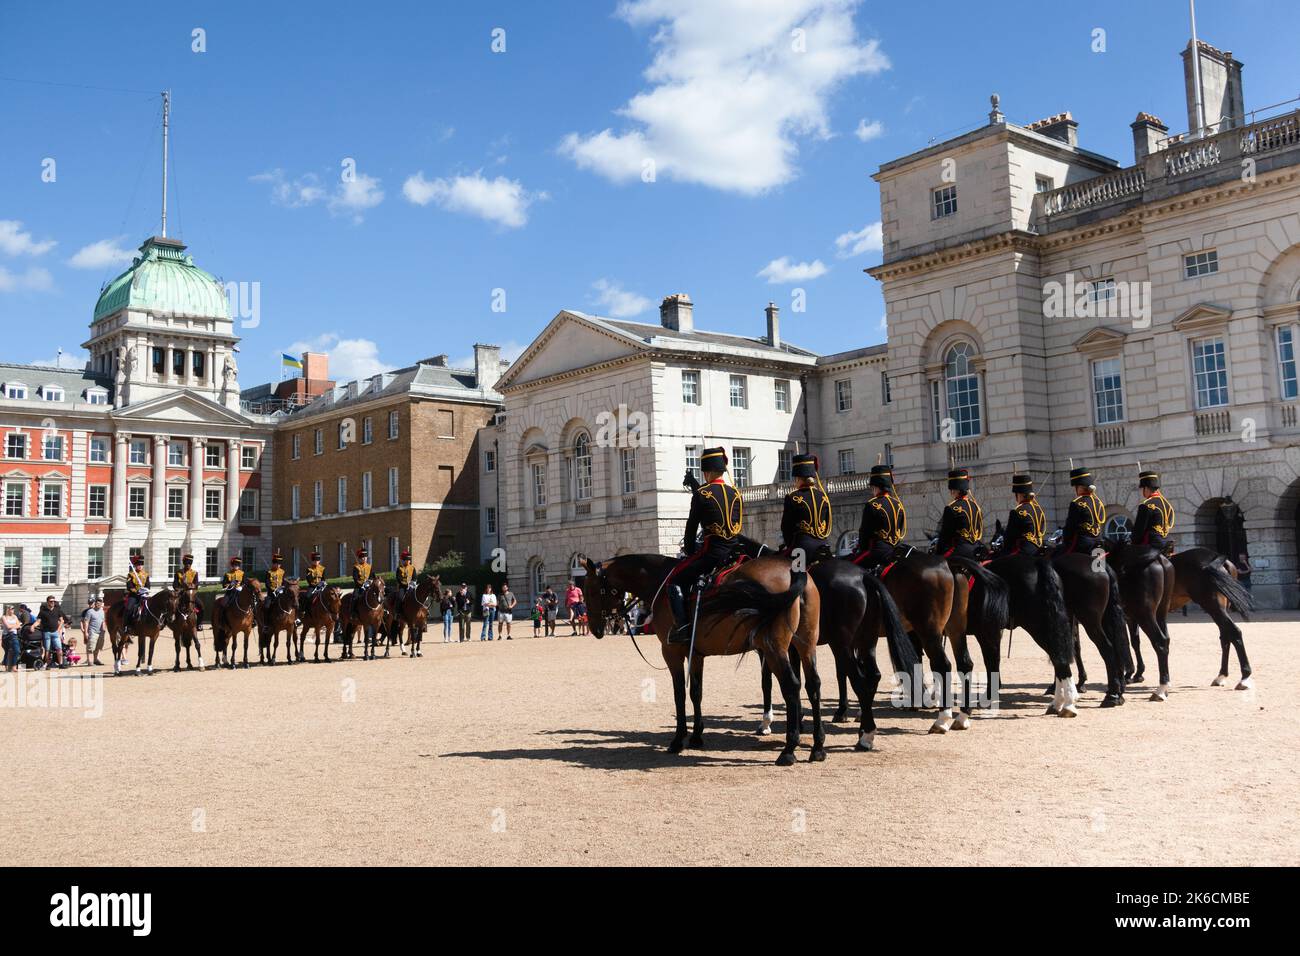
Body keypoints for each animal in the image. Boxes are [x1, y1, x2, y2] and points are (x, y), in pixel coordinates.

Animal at [582, 554, 821, 770]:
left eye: (591, 590)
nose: (595, 628)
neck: (659, 580)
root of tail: (793, 570)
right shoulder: (695, 655)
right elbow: (696, 693)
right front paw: (697, 736)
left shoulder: (671, 652)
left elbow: (679, 694)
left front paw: (678, 740)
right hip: (805, 644)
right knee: (813, 686)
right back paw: (818, 747)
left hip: (774, 649)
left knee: (791, 687)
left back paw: (789, 750)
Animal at [759, 556, 920, 749]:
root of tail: (863, 575)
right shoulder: (793, 648)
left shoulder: (773, 647)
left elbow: (768, 681)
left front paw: (768, 723)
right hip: (865, 643)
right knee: (872, 676)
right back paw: (863, 727)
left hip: (842, 645)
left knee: (859, 681)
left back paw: (865, 736)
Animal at [1123, 548, 1253, 691]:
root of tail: (1218, 558)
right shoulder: (1132, 616)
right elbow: (1134, 642)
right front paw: (1136, 673)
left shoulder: (1130, 616)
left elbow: (1130, 643)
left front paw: (1132, 673)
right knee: (1225, 636)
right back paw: (1221, 676)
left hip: (1213, 606)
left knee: (1234, 633)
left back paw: (1244, 678)